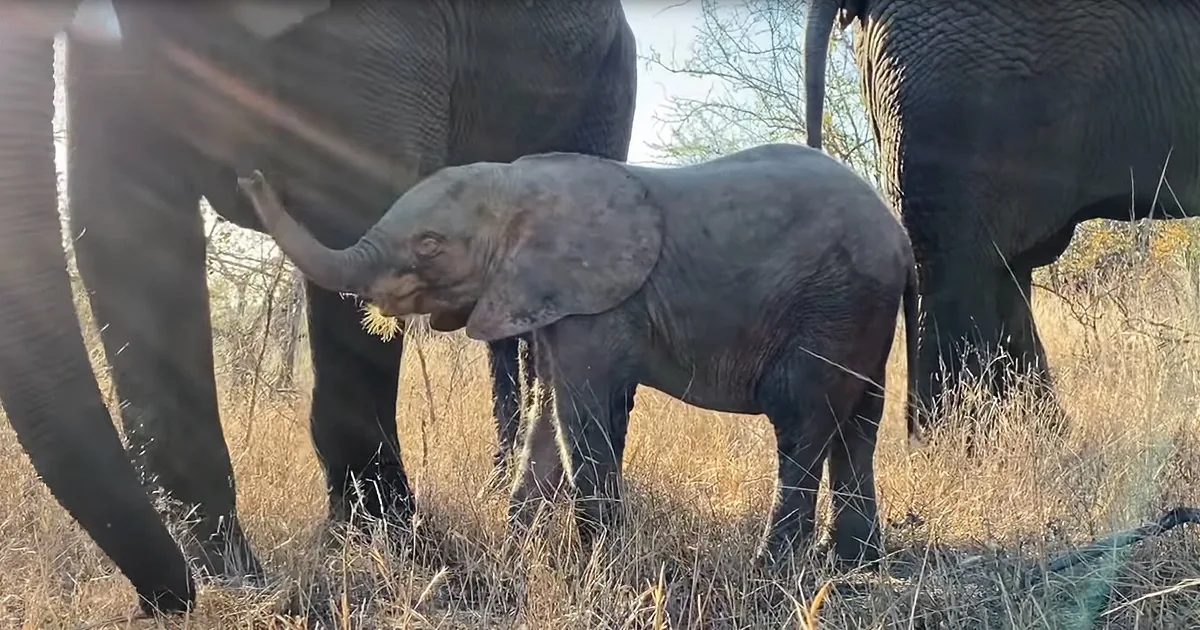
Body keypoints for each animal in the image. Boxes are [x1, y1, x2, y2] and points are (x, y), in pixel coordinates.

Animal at [0, 0, 635, 615]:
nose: (167, 601)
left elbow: (353, 208)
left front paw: (383, 547)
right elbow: (127, 231)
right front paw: (229, 576)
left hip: (607, 84)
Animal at [236, 141, 921, 567]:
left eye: (430, 245)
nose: (251, 175)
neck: (517, 185)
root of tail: (900, 239)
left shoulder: (596, 304)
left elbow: (582, 412)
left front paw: (597, 560)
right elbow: (548, 412)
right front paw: (516, 545)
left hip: (832, 302)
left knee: (803, 419)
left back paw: (771, 568)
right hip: (859, 311)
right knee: (857, 423)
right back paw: (854, 562)